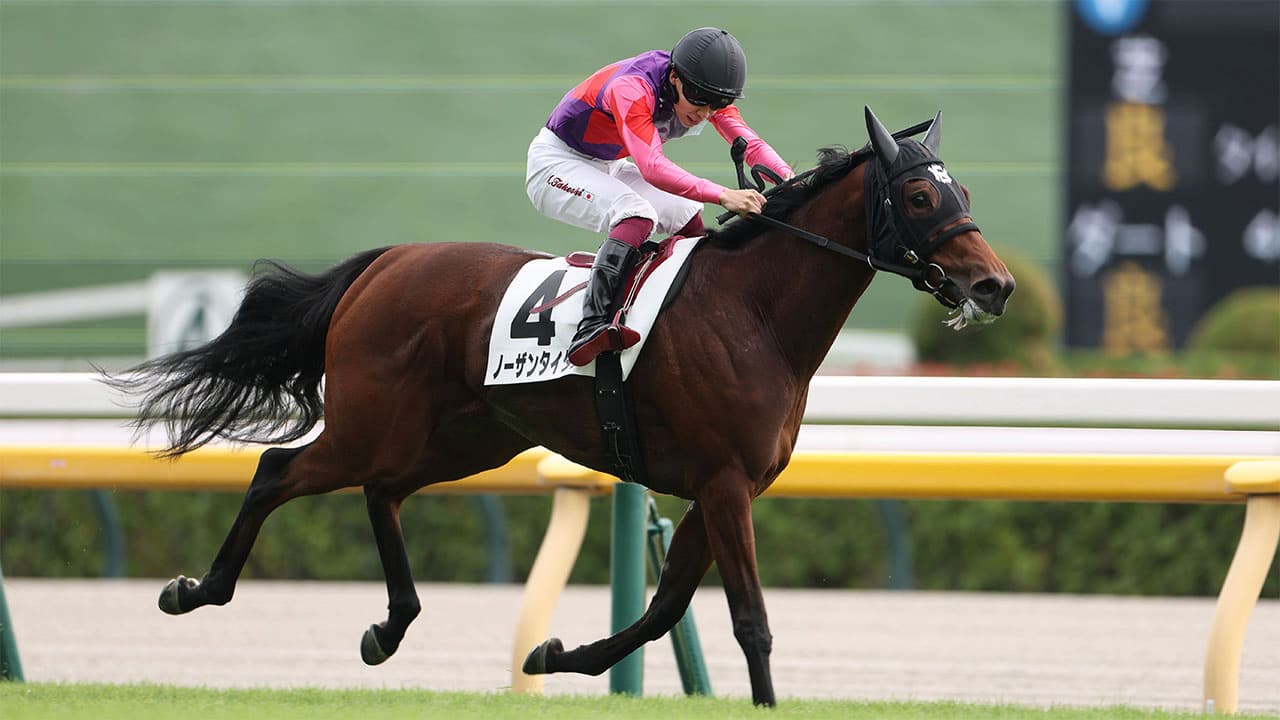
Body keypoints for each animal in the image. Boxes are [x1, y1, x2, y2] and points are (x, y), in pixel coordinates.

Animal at [108, 106, 1014, 706]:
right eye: (921, 199)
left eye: (962, 189)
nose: (994, 286)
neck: (754, 311)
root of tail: (387, 261)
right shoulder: (724, 483)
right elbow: (748, 619)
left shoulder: (721, 488)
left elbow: (661, 613)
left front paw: (551, 655)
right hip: (371, 422)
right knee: (276, 469)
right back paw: (195, 591)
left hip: (467, 437)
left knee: (382, 491)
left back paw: (389, 627)